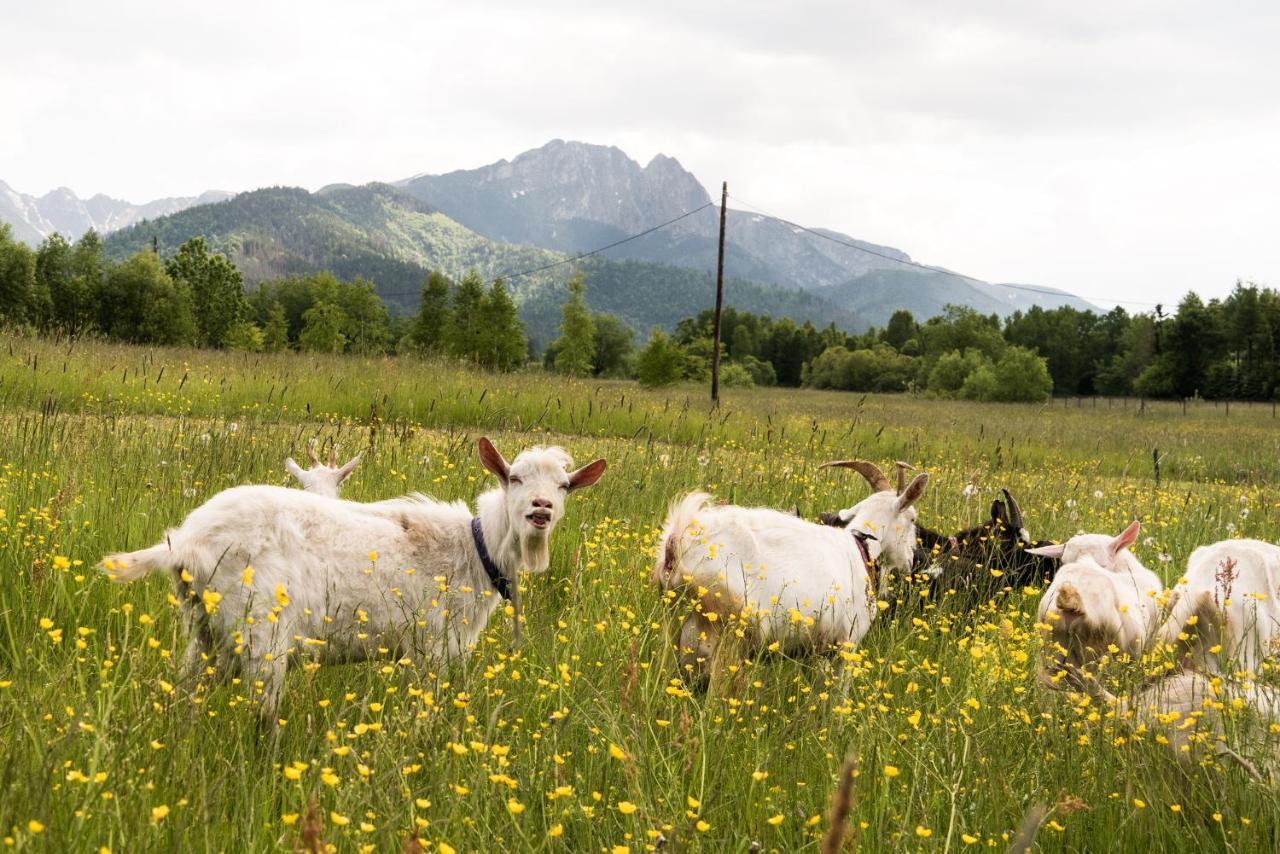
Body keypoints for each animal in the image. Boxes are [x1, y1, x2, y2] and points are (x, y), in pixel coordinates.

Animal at [97, 437, 606, 727]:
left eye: (564, 486)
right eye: (513, 478)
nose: (540, 509)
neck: (472, 550)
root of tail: (186, 541)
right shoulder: (429, 650)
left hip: (203, 627)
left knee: (186, 690)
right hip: (259, 630)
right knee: (260, 712)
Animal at [655, 458, 926, 686]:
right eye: (912, 519)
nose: (911, 559)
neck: (864, 545)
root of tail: (678, 539)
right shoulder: (846, 644)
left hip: (674, 626)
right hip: (724, 635)